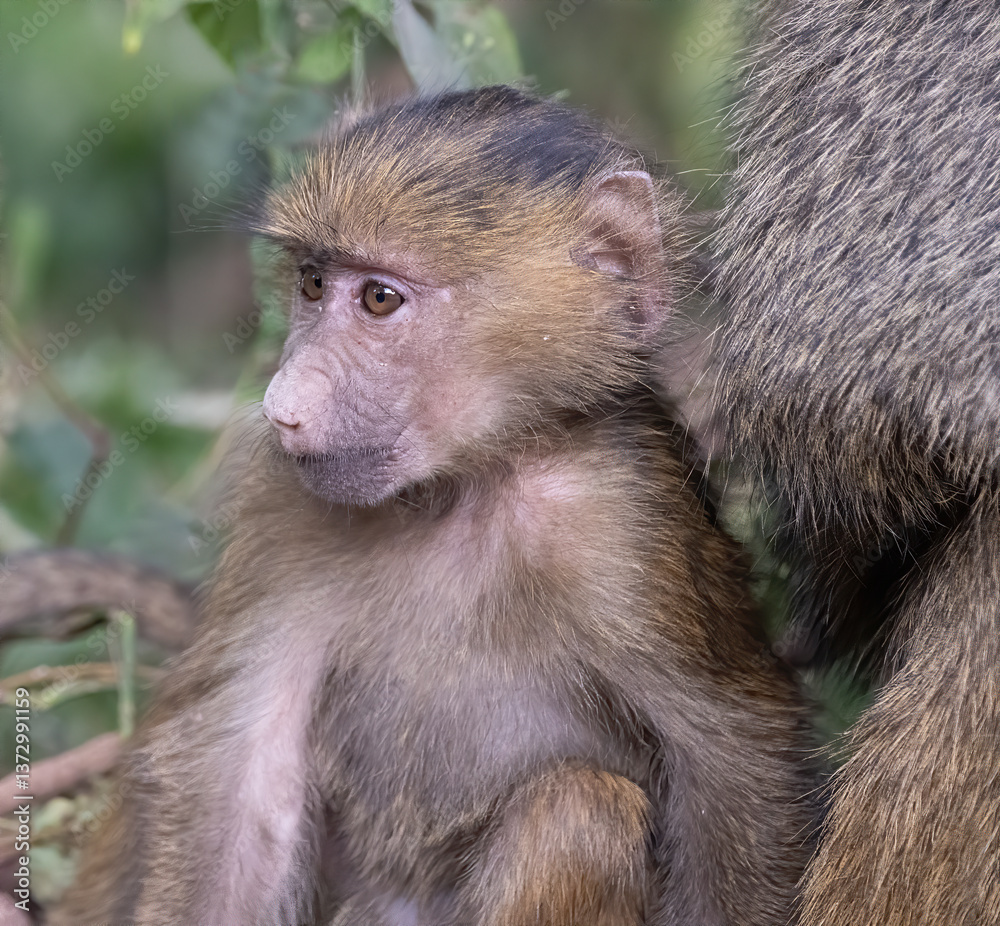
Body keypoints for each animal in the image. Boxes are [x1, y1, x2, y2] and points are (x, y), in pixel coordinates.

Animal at [52, 86, 818, 926]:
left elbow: (732, 757)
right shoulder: (284, 505)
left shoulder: (624, 516)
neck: (461, 488)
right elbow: (241, 784)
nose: (282, 409)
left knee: (576, 809)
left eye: (380, 299)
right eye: (313, 284)